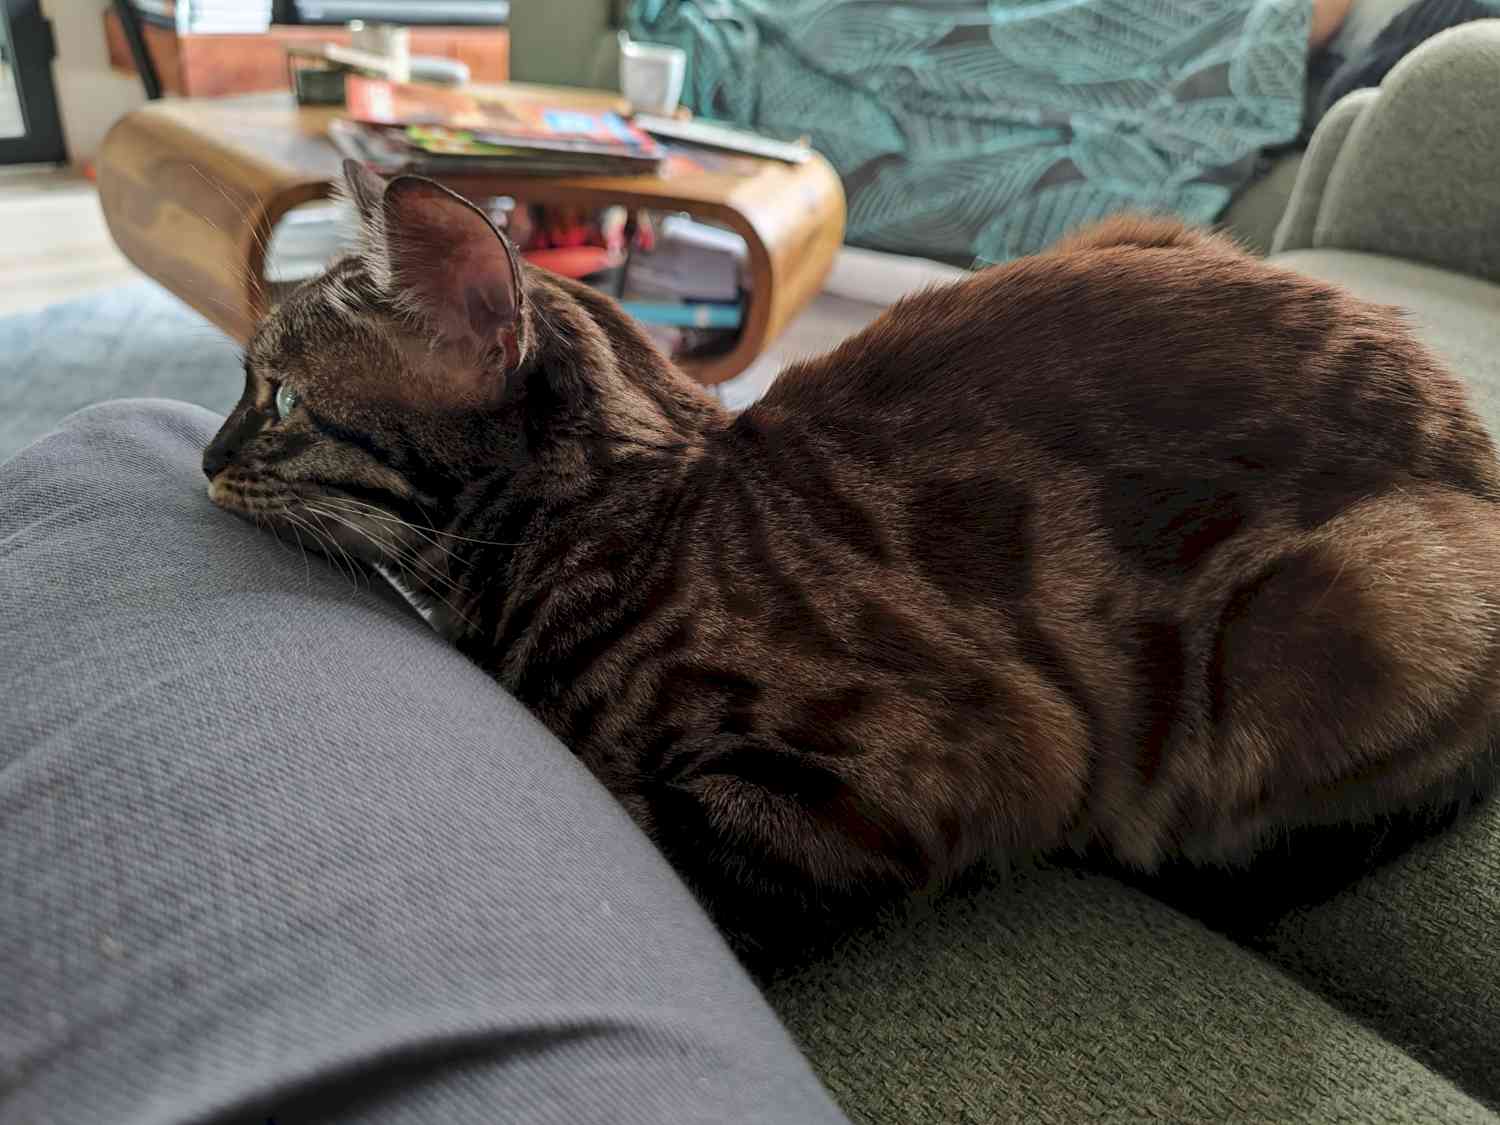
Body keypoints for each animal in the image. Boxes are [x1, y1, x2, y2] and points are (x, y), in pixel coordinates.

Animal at [204, 159, 1500, 937]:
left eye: (277, 399)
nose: (205, 459)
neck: (612, 529)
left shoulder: (949, 761)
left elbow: (672, 843)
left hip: (1354, 606)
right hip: (1150, 236)